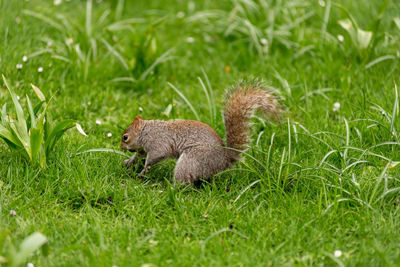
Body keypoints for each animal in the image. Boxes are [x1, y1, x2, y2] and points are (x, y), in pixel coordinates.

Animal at [120, 80, 280, 184]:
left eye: (125, 137)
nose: (120, 147)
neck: (146, 132)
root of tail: (225, 160)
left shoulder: (158, 143)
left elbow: (155, 156)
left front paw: (144, 169)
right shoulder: (143, 148)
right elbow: (139, 155)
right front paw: (129, 161)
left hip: (192, 160)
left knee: (184, 180)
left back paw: (170, 188)